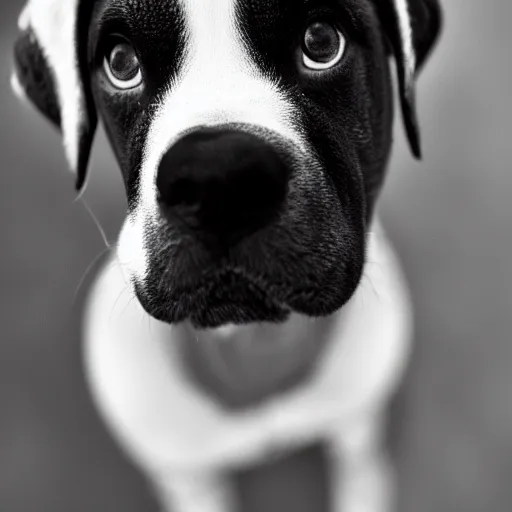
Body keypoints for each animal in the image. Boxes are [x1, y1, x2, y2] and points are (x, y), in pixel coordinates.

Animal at [13, 0, 440, 510]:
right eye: (121, 62)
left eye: (321, 41)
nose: (219, 178)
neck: (253, 350)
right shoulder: (188, 475)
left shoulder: (357, 429)